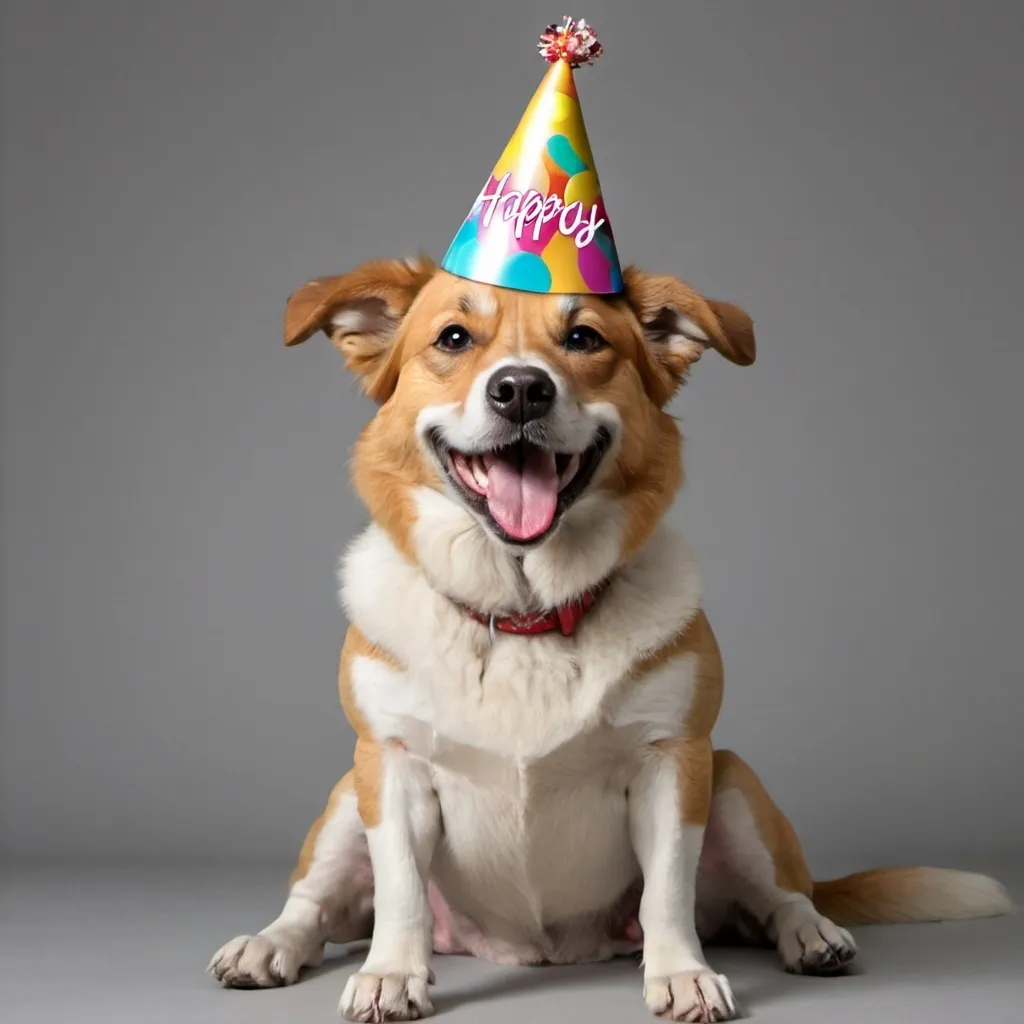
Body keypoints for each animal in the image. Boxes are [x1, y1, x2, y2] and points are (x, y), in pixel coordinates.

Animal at [205, 258, 1007, 1024]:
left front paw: (681, 974)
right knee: (317, 907)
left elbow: (667, 893)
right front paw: (391, 975)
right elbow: (399, 890)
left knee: (780, 896)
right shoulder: (391, 764)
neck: (525, 613)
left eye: (584, 338)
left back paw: (811, 934)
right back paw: (267, 946)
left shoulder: (672, 763)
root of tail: (533, 950)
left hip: (734, 782)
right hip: (348, 796)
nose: (521, 390)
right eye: (454, 338)